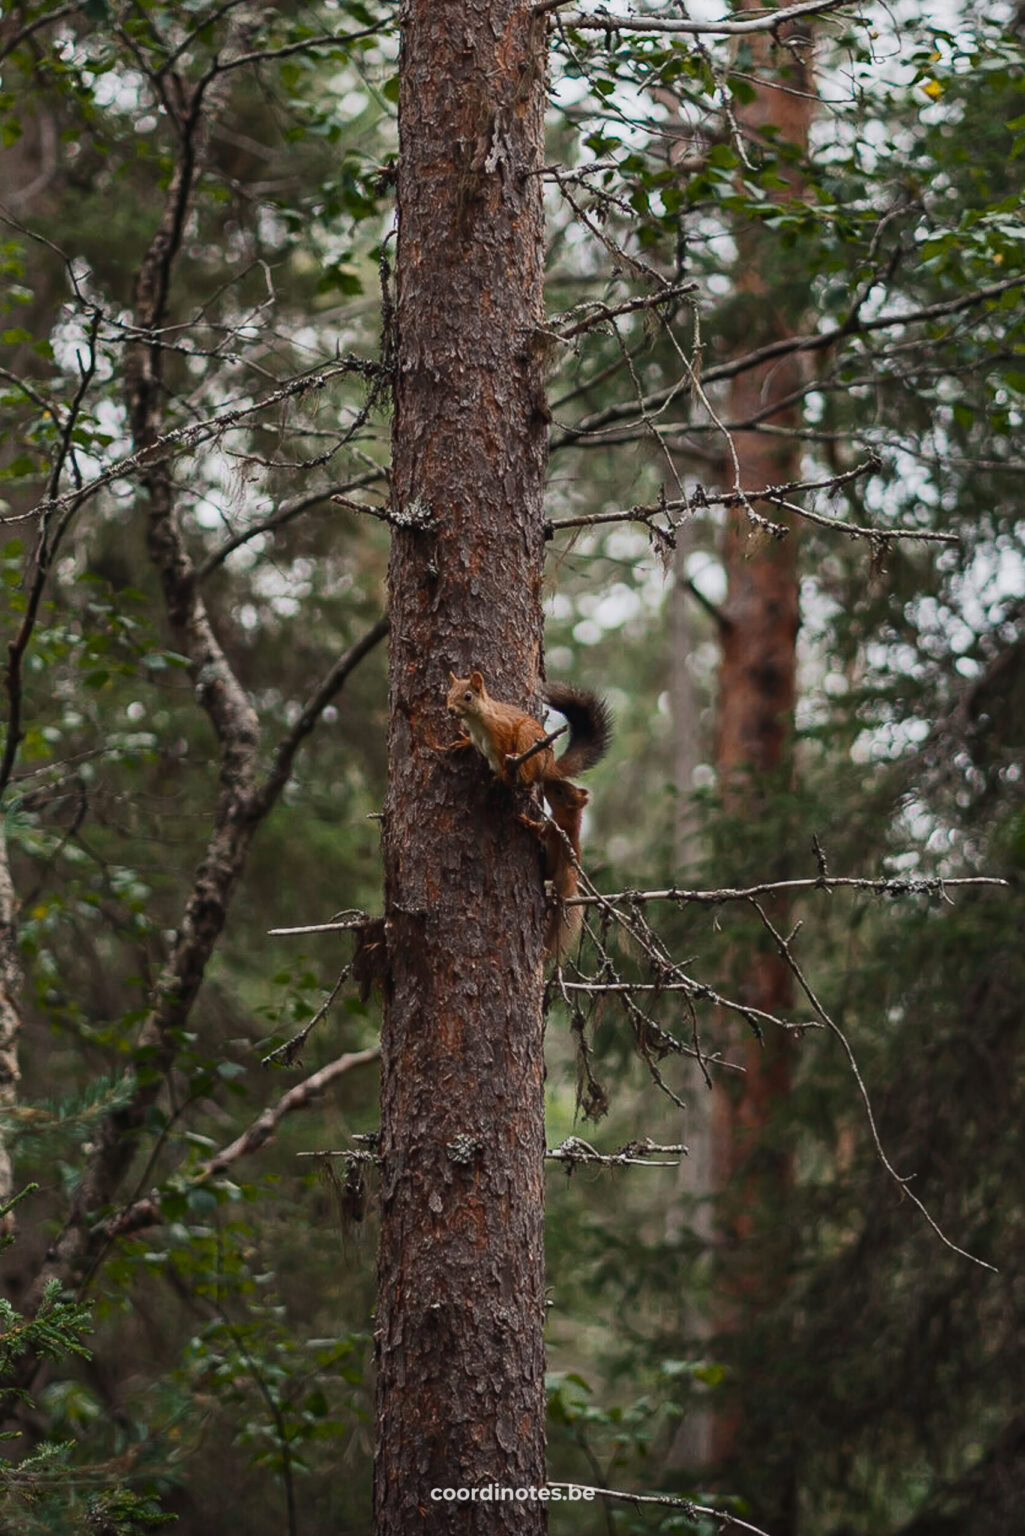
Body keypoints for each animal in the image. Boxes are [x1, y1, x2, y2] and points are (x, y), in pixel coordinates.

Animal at [445, 672, 608, 958]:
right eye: (448, 693)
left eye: (468, 696)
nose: (451, 710)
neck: (479, 721)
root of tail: (549, 765)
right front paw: (462, 742)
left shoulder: (503, 734)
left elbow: (503, 758)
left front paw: (502, 774)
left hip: (527, 740)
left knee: (526, 773)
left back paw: (514, 775)